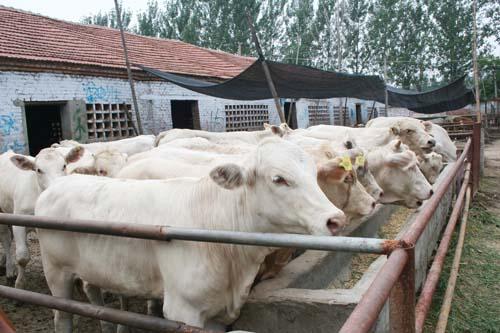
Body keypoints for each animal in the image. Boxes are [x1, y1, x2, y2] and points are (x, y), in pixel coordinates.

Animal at [0, 146, 83, 288]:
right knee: (5, 238)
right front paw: (20, 284)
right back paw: (10, 271)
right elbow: (22, 256)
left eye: (64, 165)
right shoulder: (19, 221)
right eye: (38, 170)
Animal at [36, 137, 348, 330]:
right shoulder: (182, 309)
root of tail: (59, 185)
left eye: (313, 174)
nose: (336, 220)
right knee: (61, 319)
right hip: (57, 274)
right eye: (279, 179)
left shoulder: (218, 313)